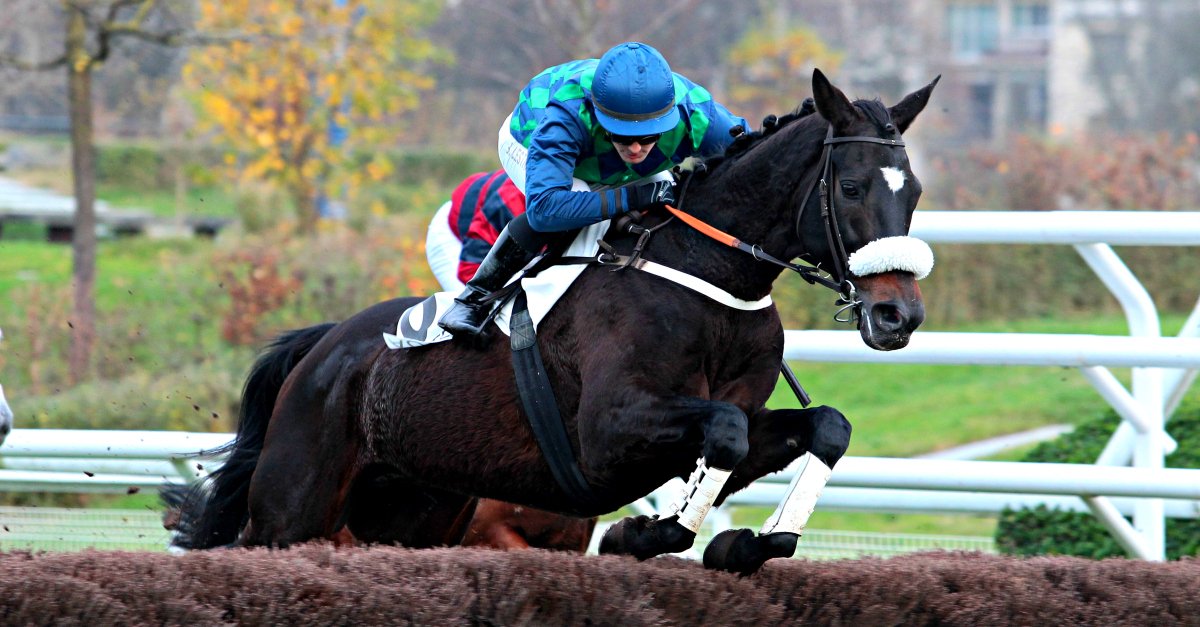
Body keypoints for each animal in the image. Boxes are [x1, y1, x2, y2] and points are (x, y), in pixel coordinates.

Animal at [166, 70, 936, 574]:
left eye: (915, 191)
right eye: (852, 186)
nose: (897, 313)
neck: (712, 280)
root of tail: (321, 347)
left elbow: (821, 427)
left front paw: (752, 540)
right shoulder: (605, 435)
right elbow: (723, 429)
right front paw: (646, 534)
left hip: (414, 509)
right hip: (292, 507)